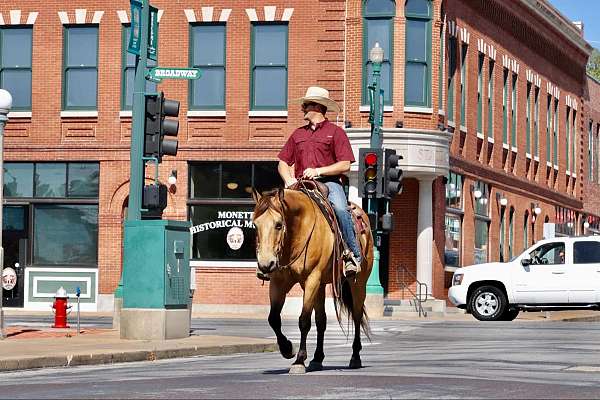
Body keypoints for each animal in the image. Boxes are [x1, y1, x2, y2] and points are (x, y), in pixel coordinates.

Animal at [251, 184, 372, 376]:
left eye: (278, 224)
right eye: (255, 225)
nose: (265, 264)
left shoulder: (311, 280)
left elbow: (304, 320)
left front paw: (299, 360)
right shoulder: (278, 282)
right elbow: (274, 318)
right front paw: (287, 349)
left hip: (358, 283)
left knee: (357, 316)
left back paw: (355, 357)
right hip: (321, 286)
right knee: (321, 321)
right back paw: (317, 359)